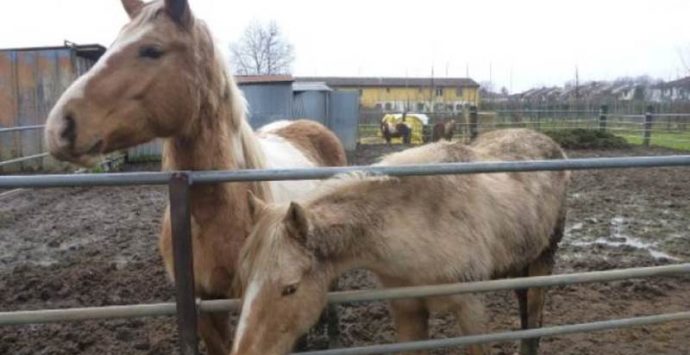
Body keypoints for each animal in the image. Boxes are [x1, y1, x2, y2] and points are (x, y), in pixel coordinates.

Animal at [234, 129, 568, 355]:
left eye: (290, 288)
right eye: (245, 280)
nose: (243, 352)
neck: (419, 225)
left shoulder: (470, 308)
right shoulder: (407, 309)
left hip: (543, 259)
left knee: (534, 315)